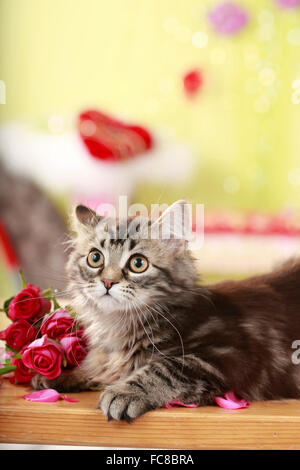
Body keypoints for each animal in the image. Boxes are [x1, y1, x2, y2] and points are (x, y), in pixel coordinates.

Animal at [32, 200, 300, 420]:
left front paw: (125, 392)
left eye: (138, 263)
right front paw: (62, 374)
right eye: (95, 258)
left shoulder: (228, 353)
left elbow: (163, 369)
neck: (119, 325)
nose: (108, 281)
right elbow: (95, 365)